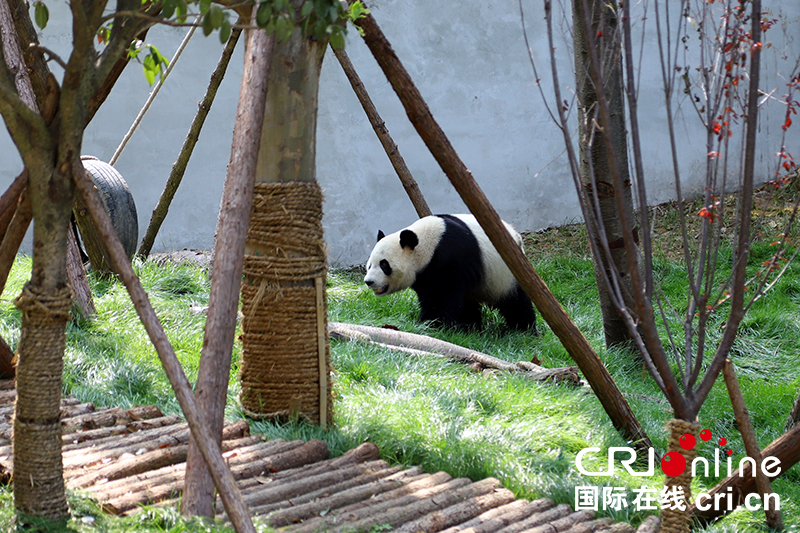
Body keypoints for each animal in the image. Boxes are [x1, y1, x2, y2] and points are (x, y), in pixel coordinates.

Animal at [364, 214, 536, 330]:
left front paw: (430, 324)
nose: (369, 281)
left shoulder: (449, 258)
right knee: (469, 302)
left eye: (384, 264)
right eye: (370, 265)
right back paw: (471, 327)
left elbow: (441, 296)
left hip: (504, 273)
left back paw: (523, 329)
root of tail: (515, 234)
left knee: (515, 301)